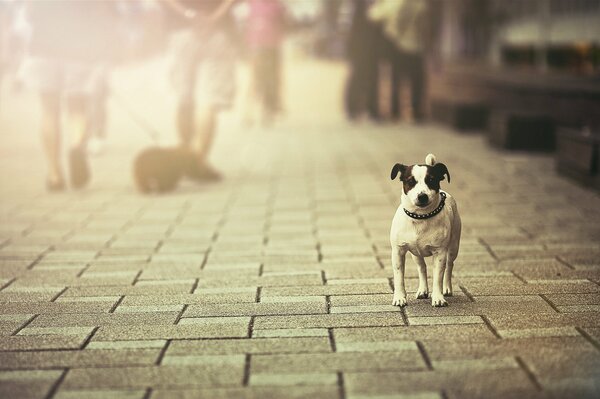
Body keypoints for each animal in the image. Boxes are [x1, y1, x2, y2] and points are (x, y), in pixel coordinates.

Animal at [392, 155, 462, 308]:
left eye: (431, 180)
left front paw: (438, 298)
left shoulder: (440, 253)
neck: (420, 217)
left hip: (454, 246)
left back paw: (447, 288)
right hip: (416, 254)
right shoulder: (398, 251)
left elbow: (437, 278)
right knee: (422, 267)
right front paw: (399, 298)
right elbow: (399, 277)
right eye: (410, 181)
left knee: (449, 265)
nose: (422, 196)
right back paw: (423, 290)